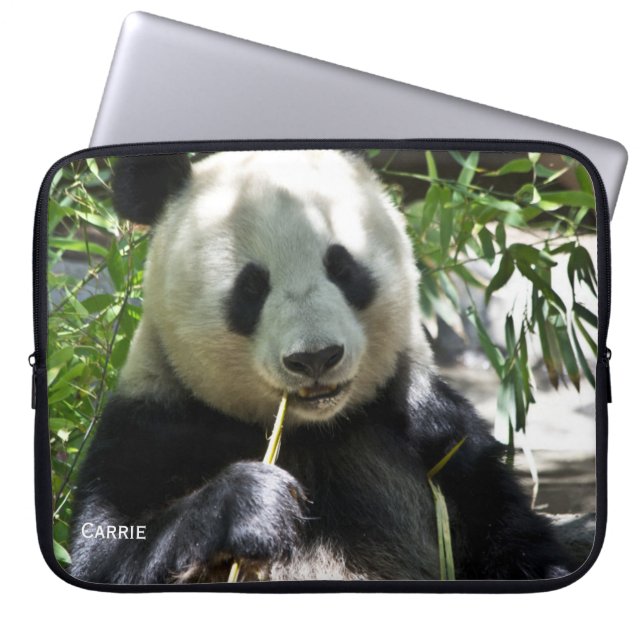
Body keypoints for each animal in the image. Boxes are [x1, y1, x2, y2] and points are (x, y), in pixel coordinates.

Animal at [69, 149, 569, 584]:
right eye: (251, 287)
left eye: (343, 268)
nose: (315, 357)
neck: (313, 431)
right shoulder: (153, 429)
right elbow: (107, 551)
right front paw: (254, 503)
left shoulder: (436, 435)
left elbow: (514, 539)